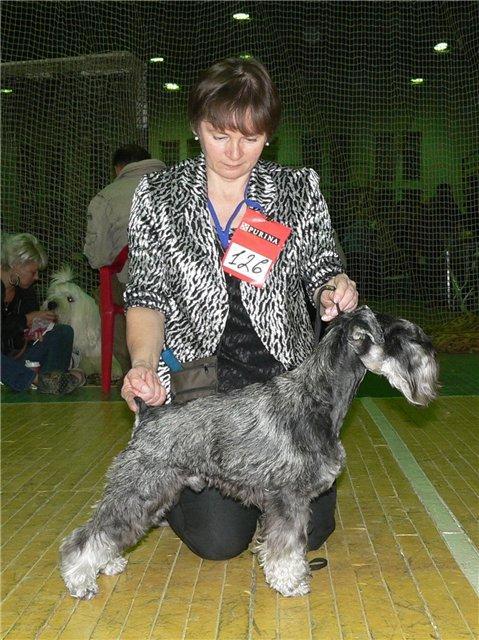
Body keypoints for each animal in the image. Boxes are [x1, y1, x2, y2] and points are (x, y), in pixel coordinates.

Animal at [60, 306, 438, 599]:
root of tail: (147, 414)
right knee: (87, 535)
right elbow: (286, 546)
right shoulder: (288, 499)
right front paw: (290, 582)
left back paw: (107, 563)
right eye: (399, 336)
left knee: (109, 532)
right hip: (141, 488)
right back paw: (80, 580)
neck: (318, 396)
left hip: (152, 496)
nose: (431, 352)